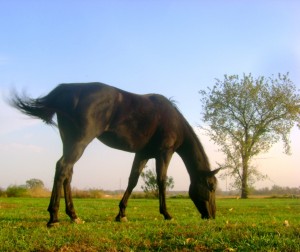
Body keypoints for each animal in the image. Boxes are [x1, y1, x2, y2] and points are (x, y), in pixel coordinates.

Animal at [9, 82, 220, 226]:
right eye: (210, 186)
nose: (212, 216)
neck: (174, 121)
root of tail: (69, 89)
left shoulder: (142, 154)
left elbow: (132, 181)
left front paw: (121, 214)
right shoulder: (164, 153)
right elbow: (161, 181)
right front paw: (166, 214)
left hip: (69, 142)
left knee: (67, 172)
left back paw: (73, 215)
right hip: (80, 142)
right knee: (62, 168)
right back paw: (54, 217)